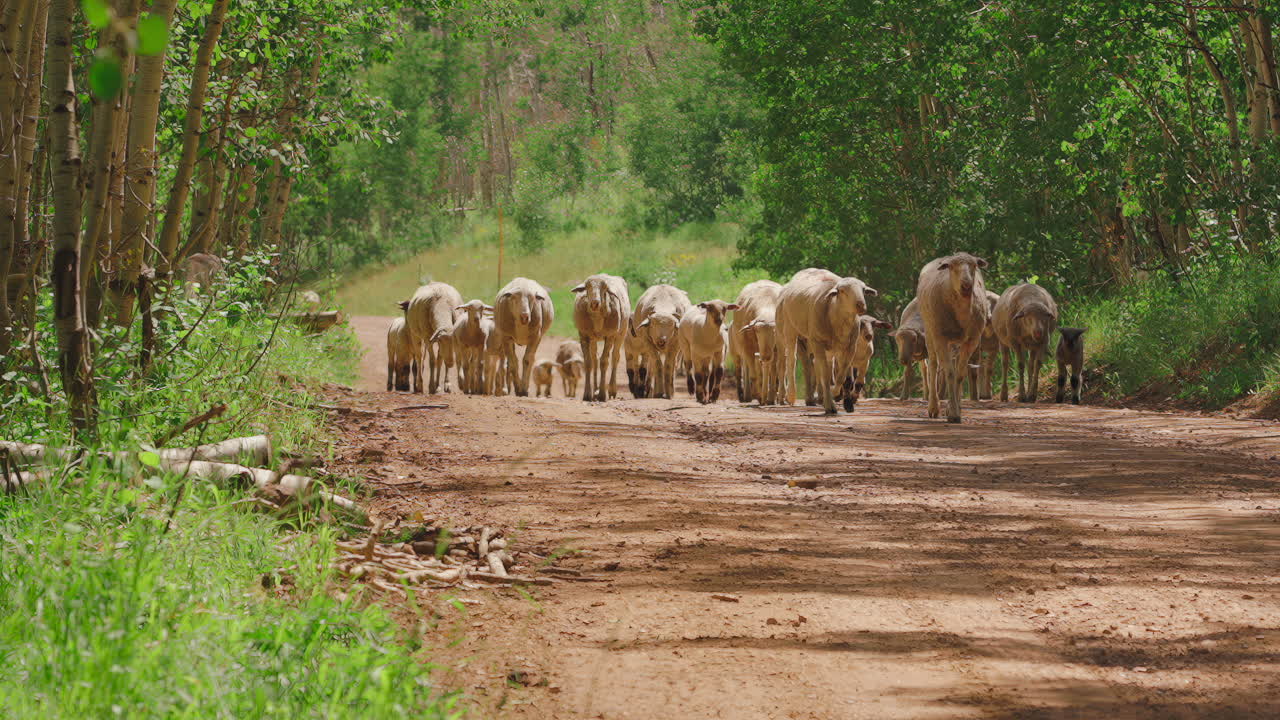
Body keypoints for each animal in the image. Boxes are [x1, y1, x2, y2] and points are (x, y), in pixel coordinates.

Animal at [775, 268, 878, 414]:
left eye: (863, 289)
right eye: (842, 291)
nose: (860, 305)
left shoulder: (849, 347)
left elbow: (842, 377)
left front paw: (839, 396)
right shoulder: (818, 342)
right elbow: (825, 375)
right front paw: (830, 404)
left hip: (812, 342)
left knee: (809, 366)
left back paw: (812, 398)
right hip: (789, 329)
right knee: (791, 361)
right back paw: (791, 395)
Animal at [916, 252, 989, 423]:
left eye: (974, 265)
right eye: (951, 267)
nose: (966, 285)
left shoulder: (972, 340)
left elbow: (960, 374)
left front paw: (954, 410)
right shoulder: (940, 337)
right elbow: (949, 372)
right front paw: (954, 414)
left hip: (955, 342)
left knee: (953, 366)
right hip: (930, 332)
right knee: (934, 365)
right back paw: (933, 407)